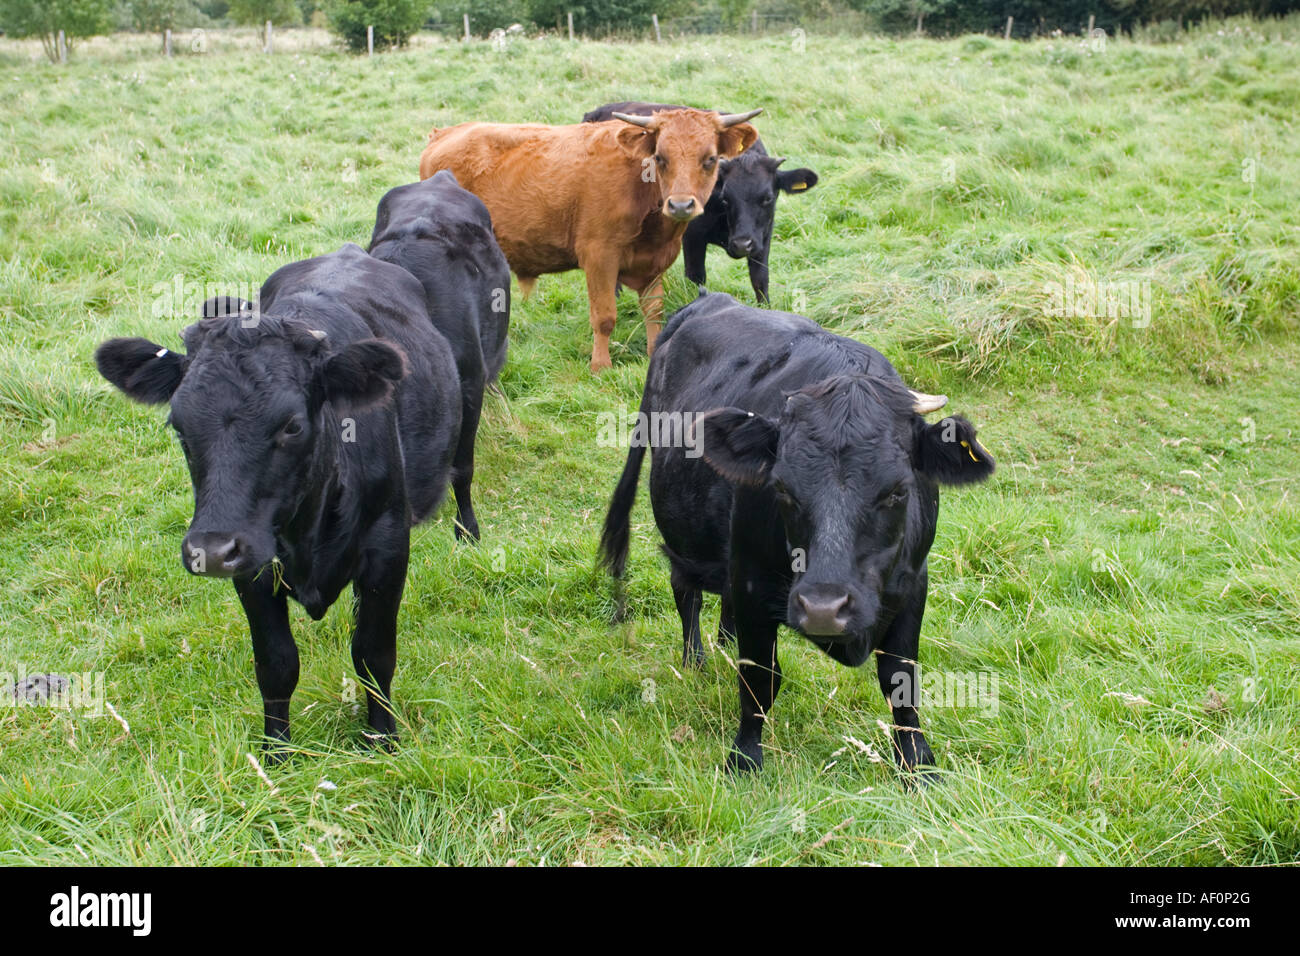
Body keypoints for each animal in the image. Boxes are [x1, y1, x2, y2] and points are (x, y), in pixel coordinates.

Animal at [92, 243, 457, 749]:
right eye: (178, 426)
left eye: (292, 426)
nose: (210, 551)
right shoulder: (253, 561)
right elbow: (276, 664)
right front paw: (276, 752)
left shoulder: (388, 547)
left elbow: (373, 654)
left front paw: (383, 739)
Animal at [416, 107, 759, 369]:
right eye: (660, 158)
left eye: (710, 159)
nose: (680, 205)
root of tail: (445, 133)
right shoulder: (599, 255)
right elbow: (604, 316)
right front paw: (600, 366)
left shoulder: (654, 261)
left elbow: (654, 311)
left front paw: (652, 352)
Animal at [579, 101, 811, 304]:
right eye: (726, 198)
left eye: (768, 198)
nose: (741, 244)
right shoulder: (693, 237)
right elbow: (696, 277)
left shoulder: (763, 235)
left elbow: (760, 279)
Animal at [600, 293, 993, 780]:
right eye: (783, 488)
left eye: (898, 490)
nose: (824, 609)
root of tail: (709, 299)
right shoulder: (753, 581)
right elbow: (760, 679)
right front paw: (744, 759)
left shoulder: (913, 583)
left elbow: (900, 679)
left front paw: (918, 766)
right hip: (683, 533)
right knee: (685, 591)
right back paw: (697, 662)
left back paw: (724, 641)